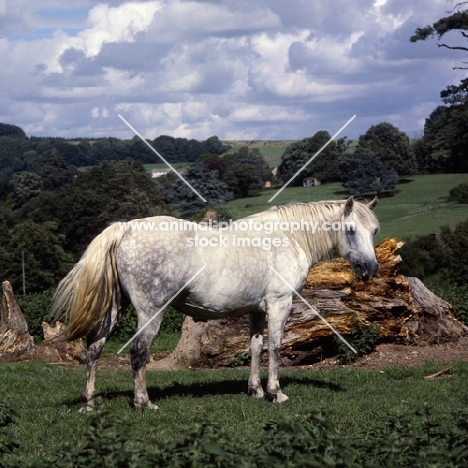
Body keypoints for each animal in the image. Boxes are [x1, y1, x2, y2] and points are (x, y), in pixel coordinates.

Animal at [52, 197, 380, 410]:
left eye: (374, 230)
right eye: (351, 229)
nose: (370, 268)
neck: (288, 236)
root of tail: (127, 228)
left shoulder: (256, 311)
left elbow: (255, 348)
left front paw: (255, 390)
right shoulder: (279, 305)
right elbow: (275, 347)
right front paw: (275, 393)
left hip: (113, 309)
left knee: (94, 349)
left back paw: (90, 402)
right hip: (150, 312)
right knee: (138, 352)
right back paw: (144, 402)